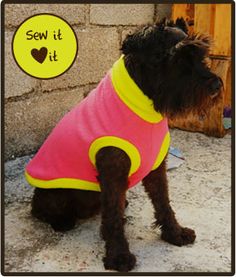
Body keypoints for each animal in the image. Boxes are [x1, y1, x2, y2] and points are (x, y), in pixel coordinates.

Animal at [29, 18, 221, 270]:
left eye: (201, 55)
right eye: (178, 58)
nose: (216, 84)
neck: (145, 106)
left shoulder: (157, 169)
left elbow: (163, 203)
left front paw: (175, 233)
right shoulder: (114, 174)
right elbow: (113, 217)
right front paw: (118, 256)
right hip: (56, 194)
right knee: (39, 210)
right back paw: (62, 221)